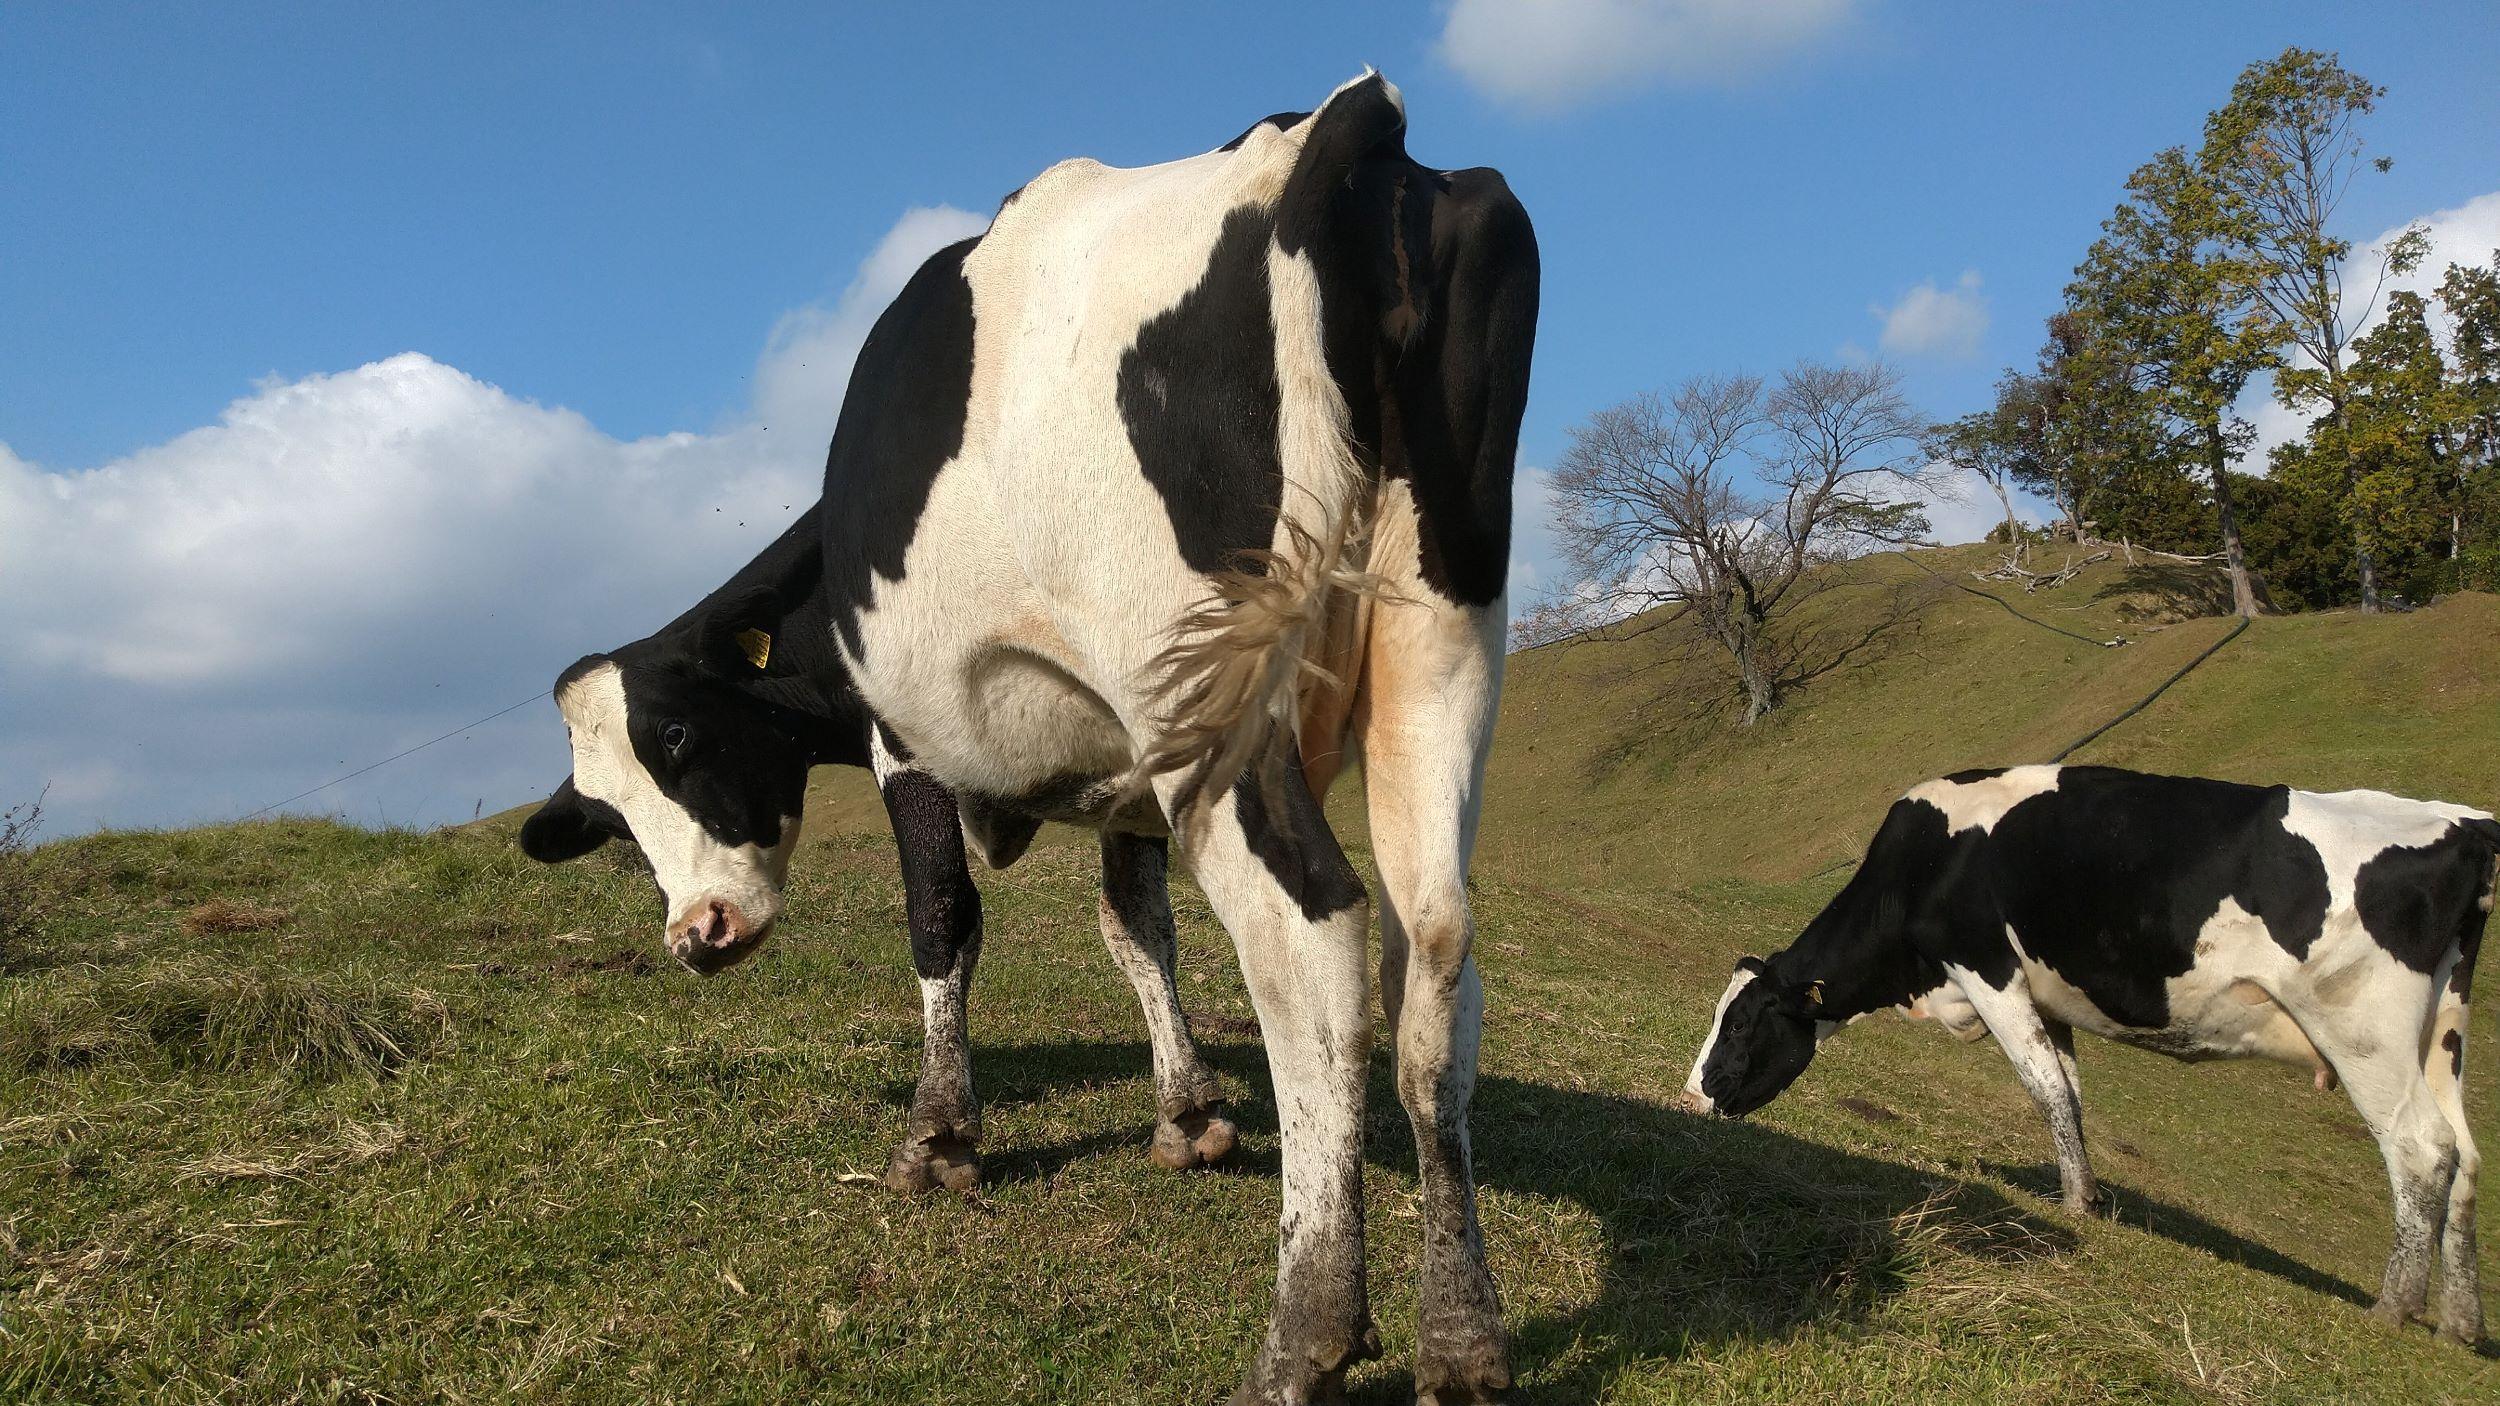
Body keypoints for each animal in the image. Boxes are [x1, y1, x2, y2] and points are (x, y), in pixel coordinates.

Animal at [517, 71, 1530, 1390]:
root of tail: (1328, 135)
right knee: (1435, 949)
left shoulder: (910, 744)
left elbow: (942, 916)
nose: (698, 932)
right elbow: (1135, 928)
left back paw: (1305, 1328)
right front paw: (1189, 1110)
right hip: (1438, 643)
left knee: (1311, 935)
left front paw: (940, 1134)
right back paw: (1460, 1331)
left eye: (680, 740)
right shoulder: (1127, 782)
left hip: (1206, 693)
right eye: (607, 817)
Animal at [1690, 760, 2490, 1340]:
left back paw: (2395, 1305)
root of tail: (2467, 825)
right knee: (2465, 1155)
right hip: (2442, 1032)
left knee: (2420, 1146)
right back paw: (2459, 1320)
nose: (1695, 1093)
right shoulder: (2051, 1001)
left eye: (1741, 1023)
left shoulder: (1986, 966)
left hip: (2361, 1028)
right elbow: (2069, 1091)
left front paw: (2075, 1203)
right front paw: (2090, 1192)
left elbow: (2042, 1084)